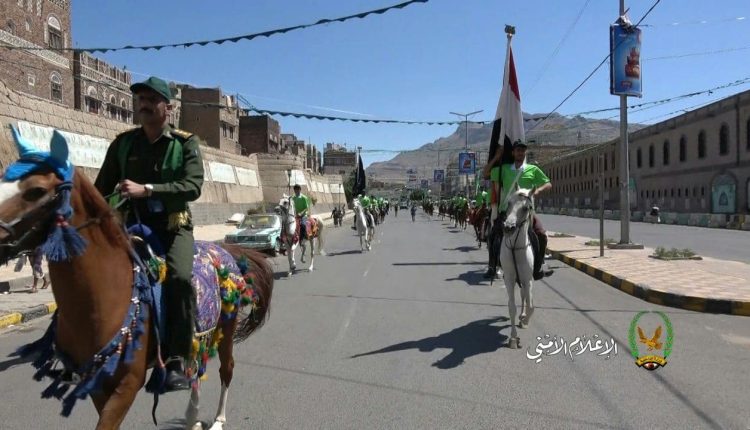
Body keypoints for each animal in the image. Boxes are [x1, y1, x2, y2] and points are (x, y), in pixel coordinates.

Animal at [0, 128, 274, 430]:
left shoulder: (128, 384)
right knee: (196, 372)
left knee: (226, 369)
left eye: (36, 190)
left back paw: (216, 420)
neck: (101, 299)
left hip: (226, 326)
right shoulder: (98, 383)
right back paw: (192, 417)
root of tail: (224, 251)